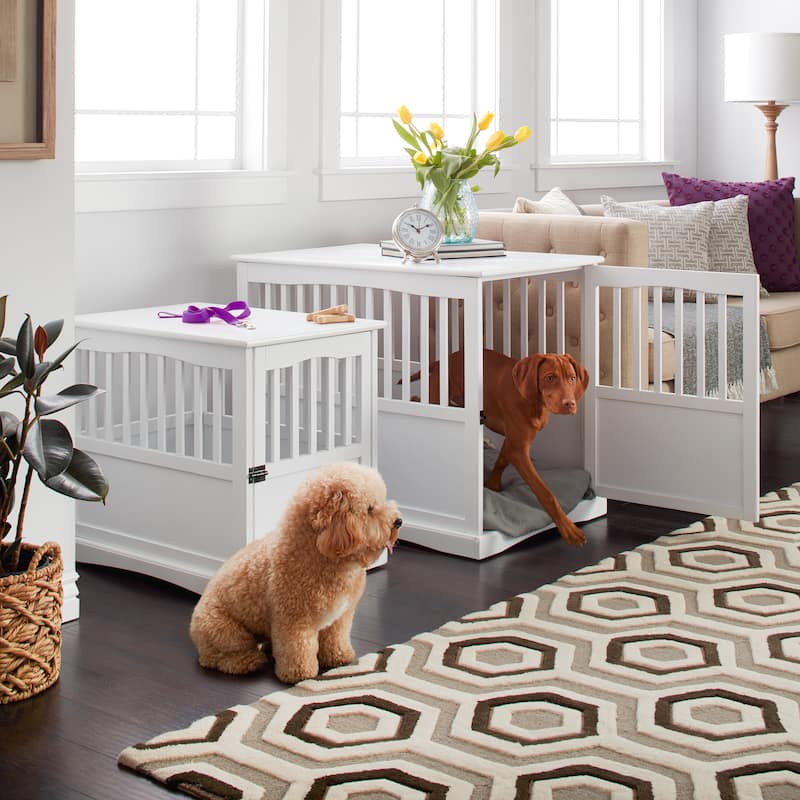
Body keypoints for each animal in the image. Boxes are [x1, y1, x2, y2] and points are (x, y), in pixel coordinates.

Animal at [191, 462, 404, 680]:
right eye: (369, 509)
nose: (398, 521)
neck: (318, 552)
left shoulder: (340, 618)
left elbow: (336, 638)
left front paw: (339, 657)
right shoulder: (294, 621)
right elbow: (297, 649)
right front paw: (300, 674)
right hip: (226, 631)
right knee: (217, 657)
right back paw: (248, 660)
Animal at [416, 352, 592, 548]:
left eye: (572, 378)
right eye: (550, 377)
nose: (570, 404)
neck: (533, 401)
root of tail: (442, 361)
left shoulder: (514, 441)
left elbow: (501, 460)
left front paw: (492, 484)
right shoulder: (519, 450)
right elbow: (546, 493)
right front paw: (569, 530)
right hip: (435, 399)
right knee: (415, 399)